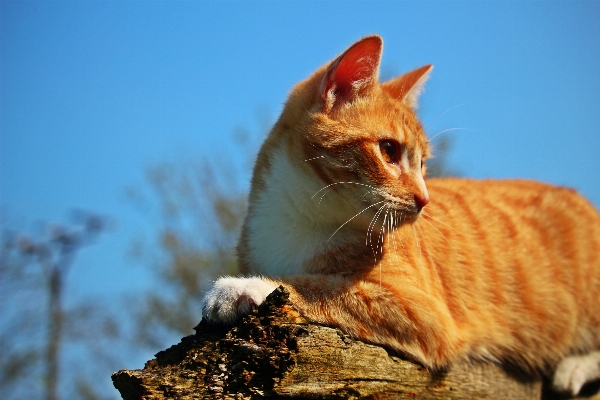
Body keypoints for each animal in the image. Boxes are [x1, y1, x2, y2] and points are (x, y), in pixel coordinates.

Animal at [203, 36, 600, 396]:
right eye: (389, 150)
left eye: (423, 164)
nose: (424, 199)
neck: (302, 215)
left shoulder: (424, 312)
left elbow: (322, 286)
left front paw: (245, 287)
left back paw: (575, 367)